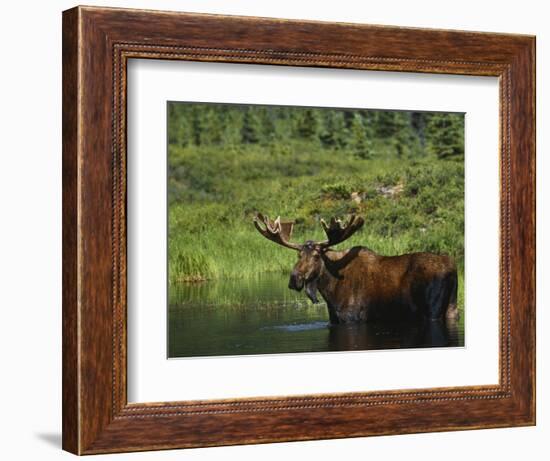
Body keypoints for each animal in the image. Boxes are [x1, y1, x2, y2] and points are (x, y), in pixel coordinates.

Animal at [254, 213, 462, 324]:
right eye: (298, 255)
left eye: (316, 256)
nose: (294, 279)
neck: (330, 291)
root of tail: (452, 269)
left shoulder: (352, 318)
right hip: (452, 307)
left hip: (432, 310)